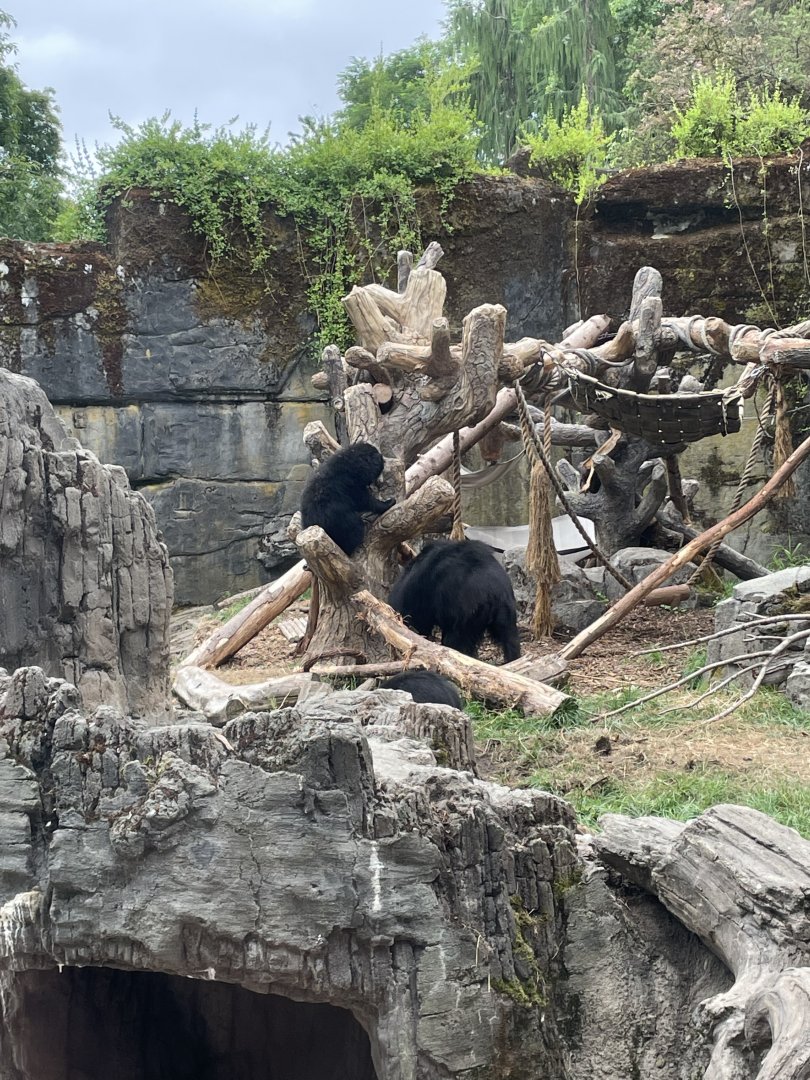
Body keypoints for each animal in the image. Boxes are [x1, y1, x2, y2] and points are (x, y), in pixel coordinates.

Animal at [388, 539, 521, 663]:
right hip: (506, 608)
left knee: (457, 640)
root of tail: (491, 592)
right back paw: (512, 660)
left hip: (466, 613)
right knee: (510, 637)